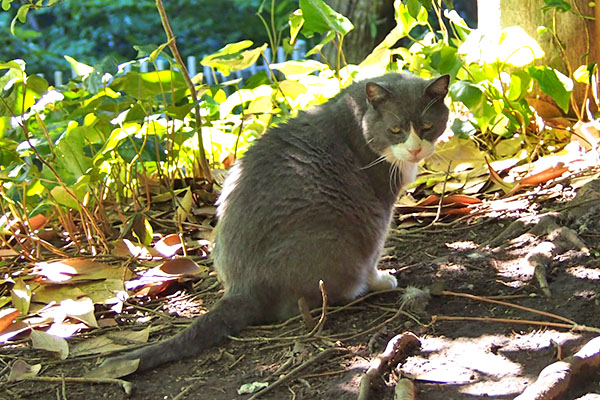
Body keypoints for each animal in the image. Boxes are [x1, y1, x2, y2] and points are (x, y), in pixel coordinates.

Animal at [105, 72, 448, 372]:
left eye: (427, 126)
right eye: (395, 130)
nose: (416, 148)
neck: (357, 115)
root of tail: (241, 288)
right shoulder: (380, 202)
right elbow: (376, 252)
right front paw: (382, 278)